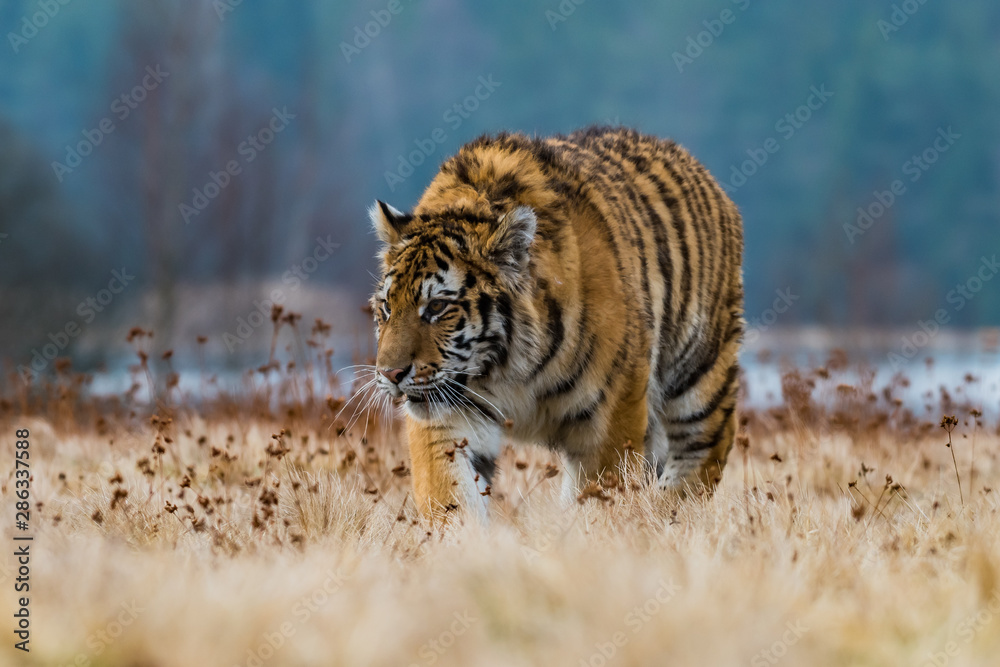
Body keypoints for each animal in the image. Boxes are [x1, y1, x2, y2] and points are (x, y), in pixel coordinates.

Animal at [369, 126, 744, 520]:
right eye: (387, 307)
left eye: (438, 306)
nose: (390, 374)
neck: (506, 370)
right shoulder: (446, 419)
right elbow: (449, 496)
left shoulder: (611, 412)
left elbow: (602, 494)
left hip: (699, 376)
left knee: (704, 452)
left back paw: (670, 513)